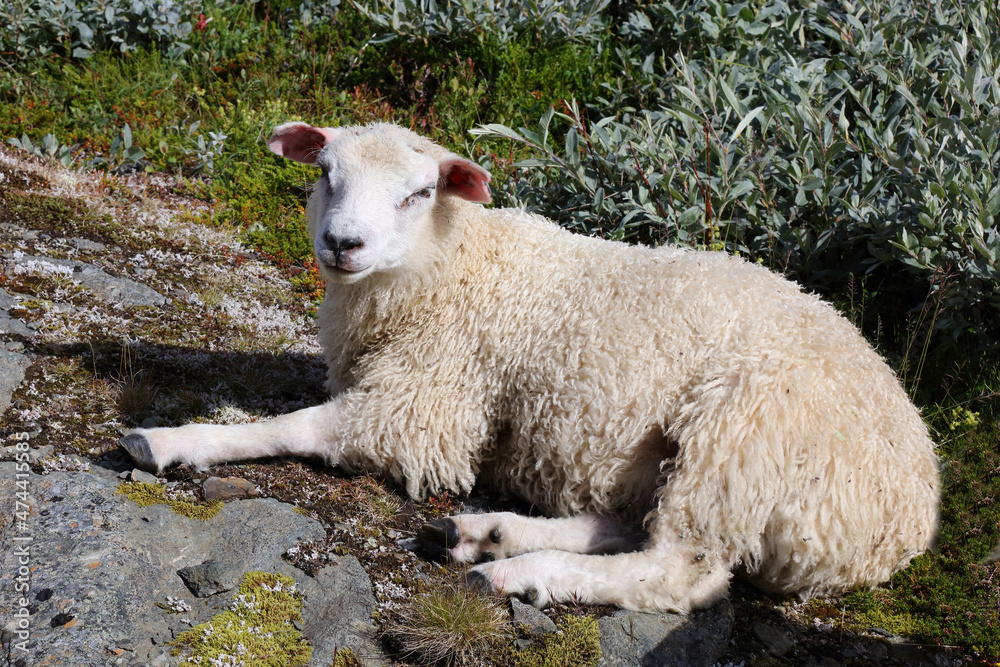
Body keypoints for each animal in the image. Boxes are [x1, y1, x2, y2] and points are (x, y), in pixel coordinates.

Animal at [121, 121, 940, 613]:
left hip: (740, 436)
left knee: (684, 570)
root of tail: (909, 511)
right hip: (681, 457)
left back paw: (517, 571)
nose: (342, 243)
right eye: (325, 172)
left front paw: (173, 439)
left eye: (420, 193)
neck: (450, 265)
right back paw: (491, 534)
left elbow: (292, 426)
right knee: (630, 524)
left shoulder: (426, 407)